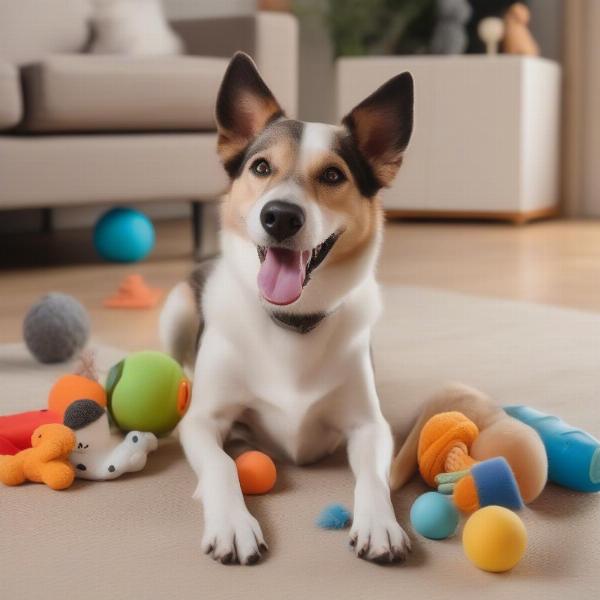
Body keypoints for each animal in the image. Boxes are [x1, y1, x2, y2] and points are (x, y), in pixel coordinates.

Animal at [158, 50, 412, 564]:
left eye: (333, 175)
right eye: (260, 168)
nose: (280, 216)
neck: (292, 322)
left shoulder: (369, 425)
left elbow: (374, 477)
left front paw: (379, 523)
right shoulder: (203, 421)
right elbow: (221, 464)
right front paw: (233, 524)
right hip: (177, 312)